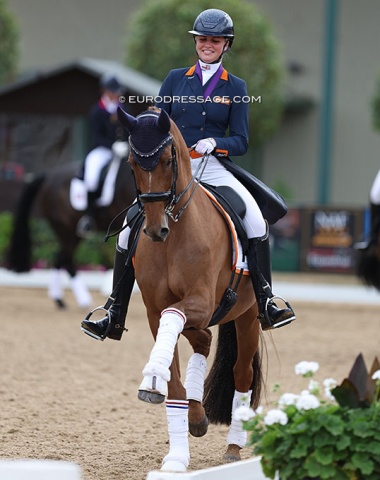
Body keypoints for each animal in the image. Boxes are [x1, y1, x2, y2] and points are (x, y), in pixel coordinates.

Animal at [5, 150, 135, 308]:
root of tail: (49, 177)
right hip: (67, 230)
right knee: (66, 259)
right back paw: (81, 299)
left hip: (70, 233)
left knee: (60, 258)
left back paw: (60, 299)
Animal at [117, 106, 262, 472]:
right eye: (132, 164)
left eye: (169, 160)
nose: (155, 230)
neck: (175, 234)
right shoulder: (155, 309)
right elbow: (175, 381)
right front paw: (177, 455)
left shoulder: (201, 300)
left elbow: (176, 321)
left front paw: (152, 375)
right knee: (203, 339)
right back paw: (196, 418)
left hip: (249, 315)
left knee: (241, 375)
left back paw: (233, 448)